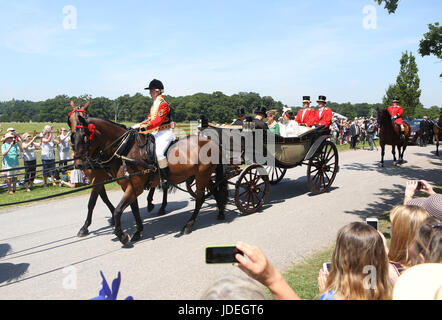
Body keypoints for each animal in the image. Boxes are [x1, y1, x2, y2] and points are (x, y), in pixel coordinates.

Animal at [70, 104, 228, 246]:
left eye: (85, 137)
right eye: (72, 138)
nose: (78, 165)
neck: (126, 149)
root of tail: (211, 142)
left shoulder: (132, 187)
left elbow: (117, 210)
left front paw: (122, 236)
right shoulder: (128, 187)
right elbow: (133, 209)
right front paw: (138, 231)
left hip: (202, 176)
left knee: (200, 198)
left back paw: (188, 225)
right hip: (203, 176)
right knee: (214, 190)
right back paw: (220, 212)